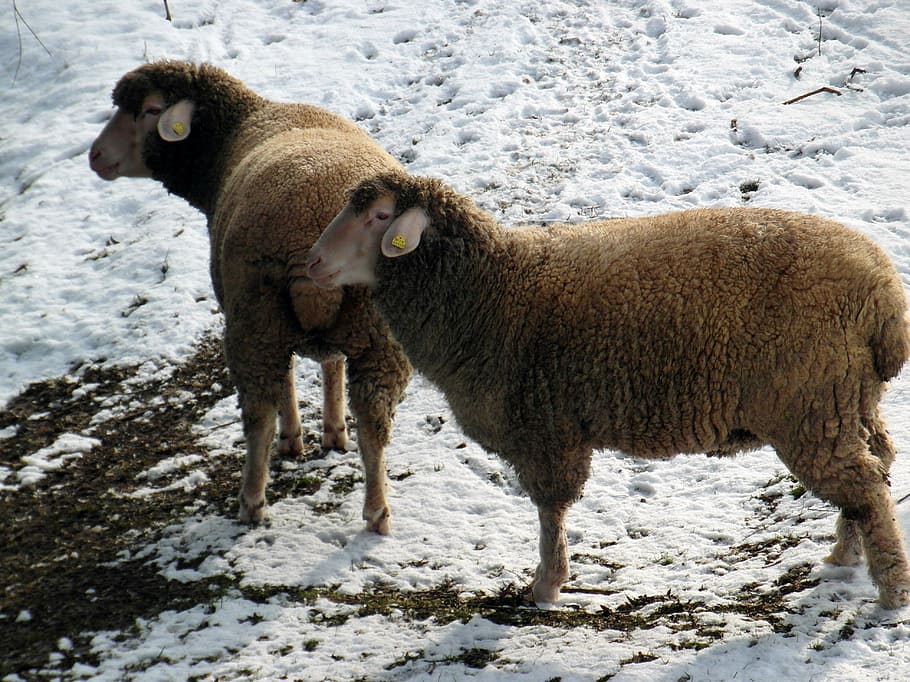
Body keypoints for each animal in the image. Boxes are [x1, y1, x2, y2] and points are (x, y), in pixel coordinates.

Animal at [88, 61, 411, 530]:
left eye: (149, 110)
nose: (94, 155)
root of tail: (310, 242)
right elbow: (330, 363)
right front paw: (334, 433)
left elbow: (288, 383)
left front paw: (294, 439)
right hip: (378, 336)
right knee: (374, 421)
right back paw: (377, 511)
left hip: (255, 321)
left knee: (259, 414)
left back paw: (252, 502)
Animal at [305, 171, 910, 609]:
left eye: (379, 217)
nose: (311, 263)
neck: (489, 291)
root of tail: (884, 298)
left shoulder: (545, 428)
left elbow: (550, 508)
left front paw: (546, 585)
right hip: (847, 397)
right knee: (875, 466)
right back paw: (845, 554)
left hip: (809, 403)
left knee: (863, 485)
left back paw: (890, 590)